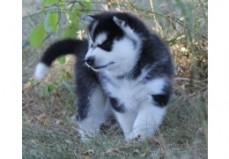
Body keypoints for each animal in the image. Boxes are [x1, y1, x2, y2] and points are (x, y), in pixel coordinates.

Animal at [34, 11, 174, 142]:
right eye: (92, 45)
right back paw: (89, 136)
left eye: (106, 44)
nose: (88, 60)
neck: (127, 71)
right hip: (90, 87)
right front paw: (130, 137)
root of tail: (81, 44)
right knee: (88, 110)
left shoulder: (155, 93)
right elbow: (127, 120)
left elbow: (145, 119)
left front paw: (138, 136)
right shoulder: (117, 98)